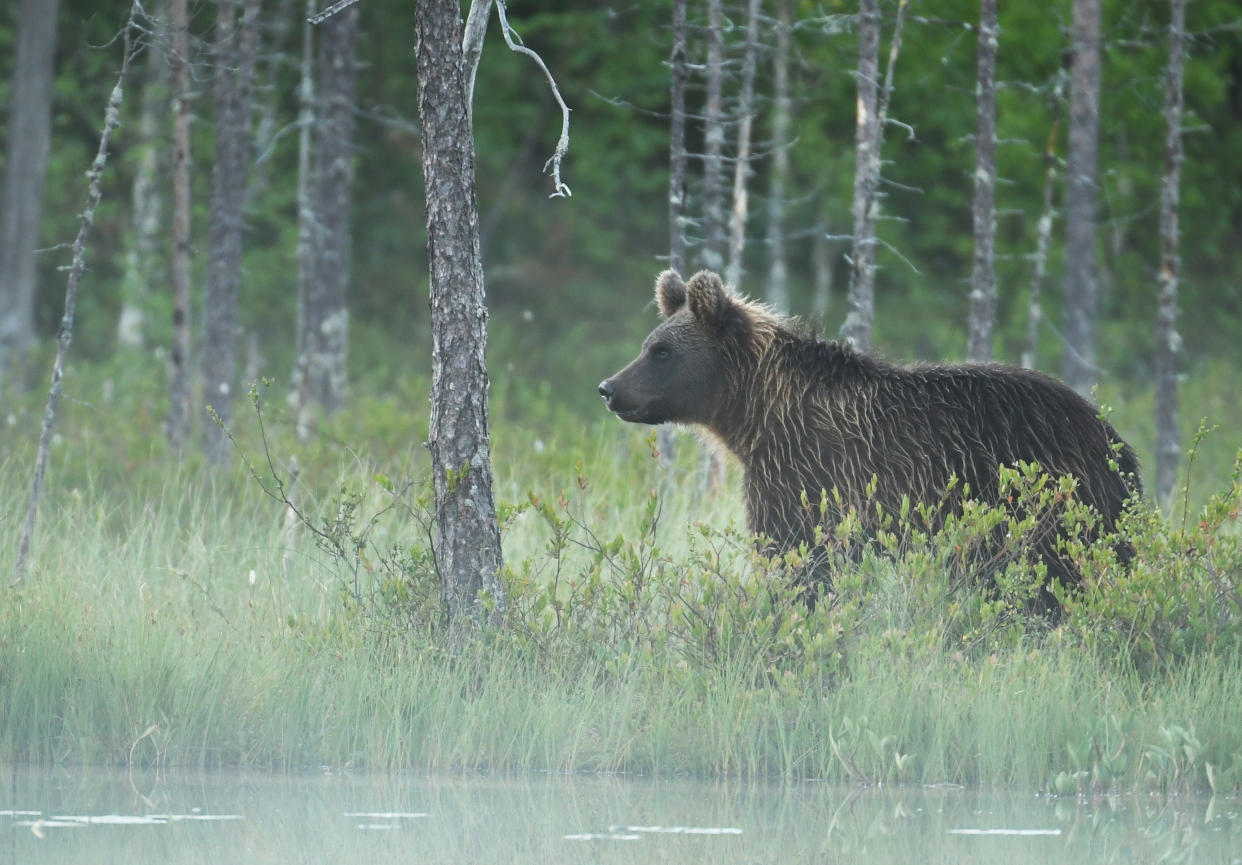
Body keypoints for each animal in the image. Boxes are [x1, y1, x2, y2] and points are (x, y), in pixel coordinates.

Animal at [596, 270, 1137, 608]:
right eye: (650, 343)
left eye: (662, 351)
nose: (609, 387)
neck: (759, 415)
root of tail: (1114, 439)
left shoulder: (807, 474)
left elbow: (797, 560)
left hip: (1050, 501)